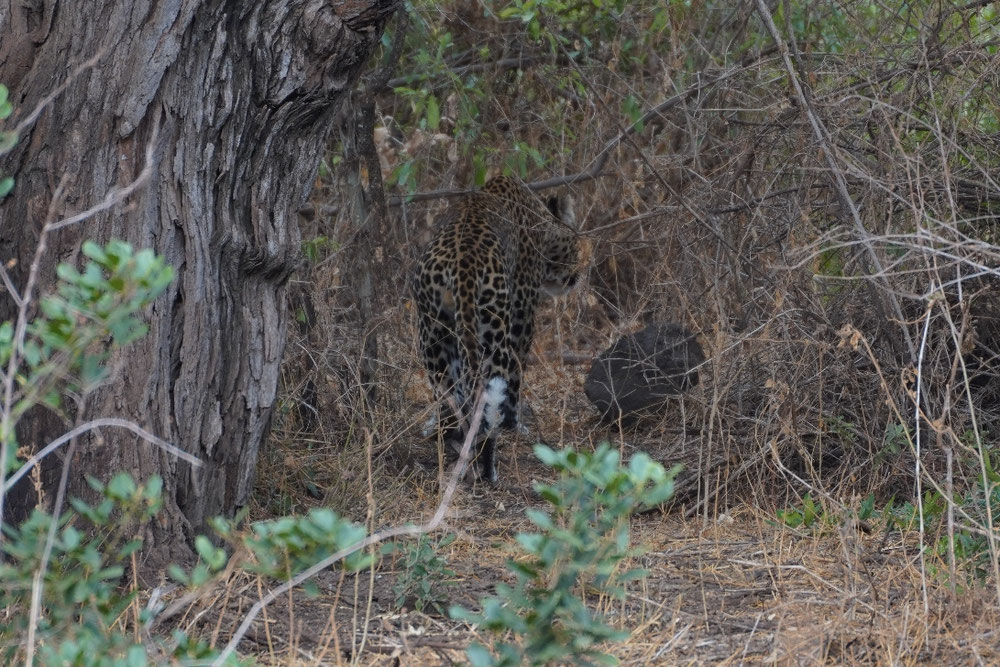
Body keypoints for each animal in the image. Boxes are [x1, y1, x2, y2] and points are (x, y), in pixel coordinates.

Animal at [414, 175, 580, 483]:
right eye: (576, 246)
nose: (579, 274)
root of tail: (462, 264)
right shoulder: (522, 313)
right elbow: (517, 376)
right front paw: (517, 426)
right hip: (494, 329)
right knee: (489, 399)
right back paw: (489, 468)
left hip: (432, 333)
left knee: (449, 398)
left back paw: (453, 445)